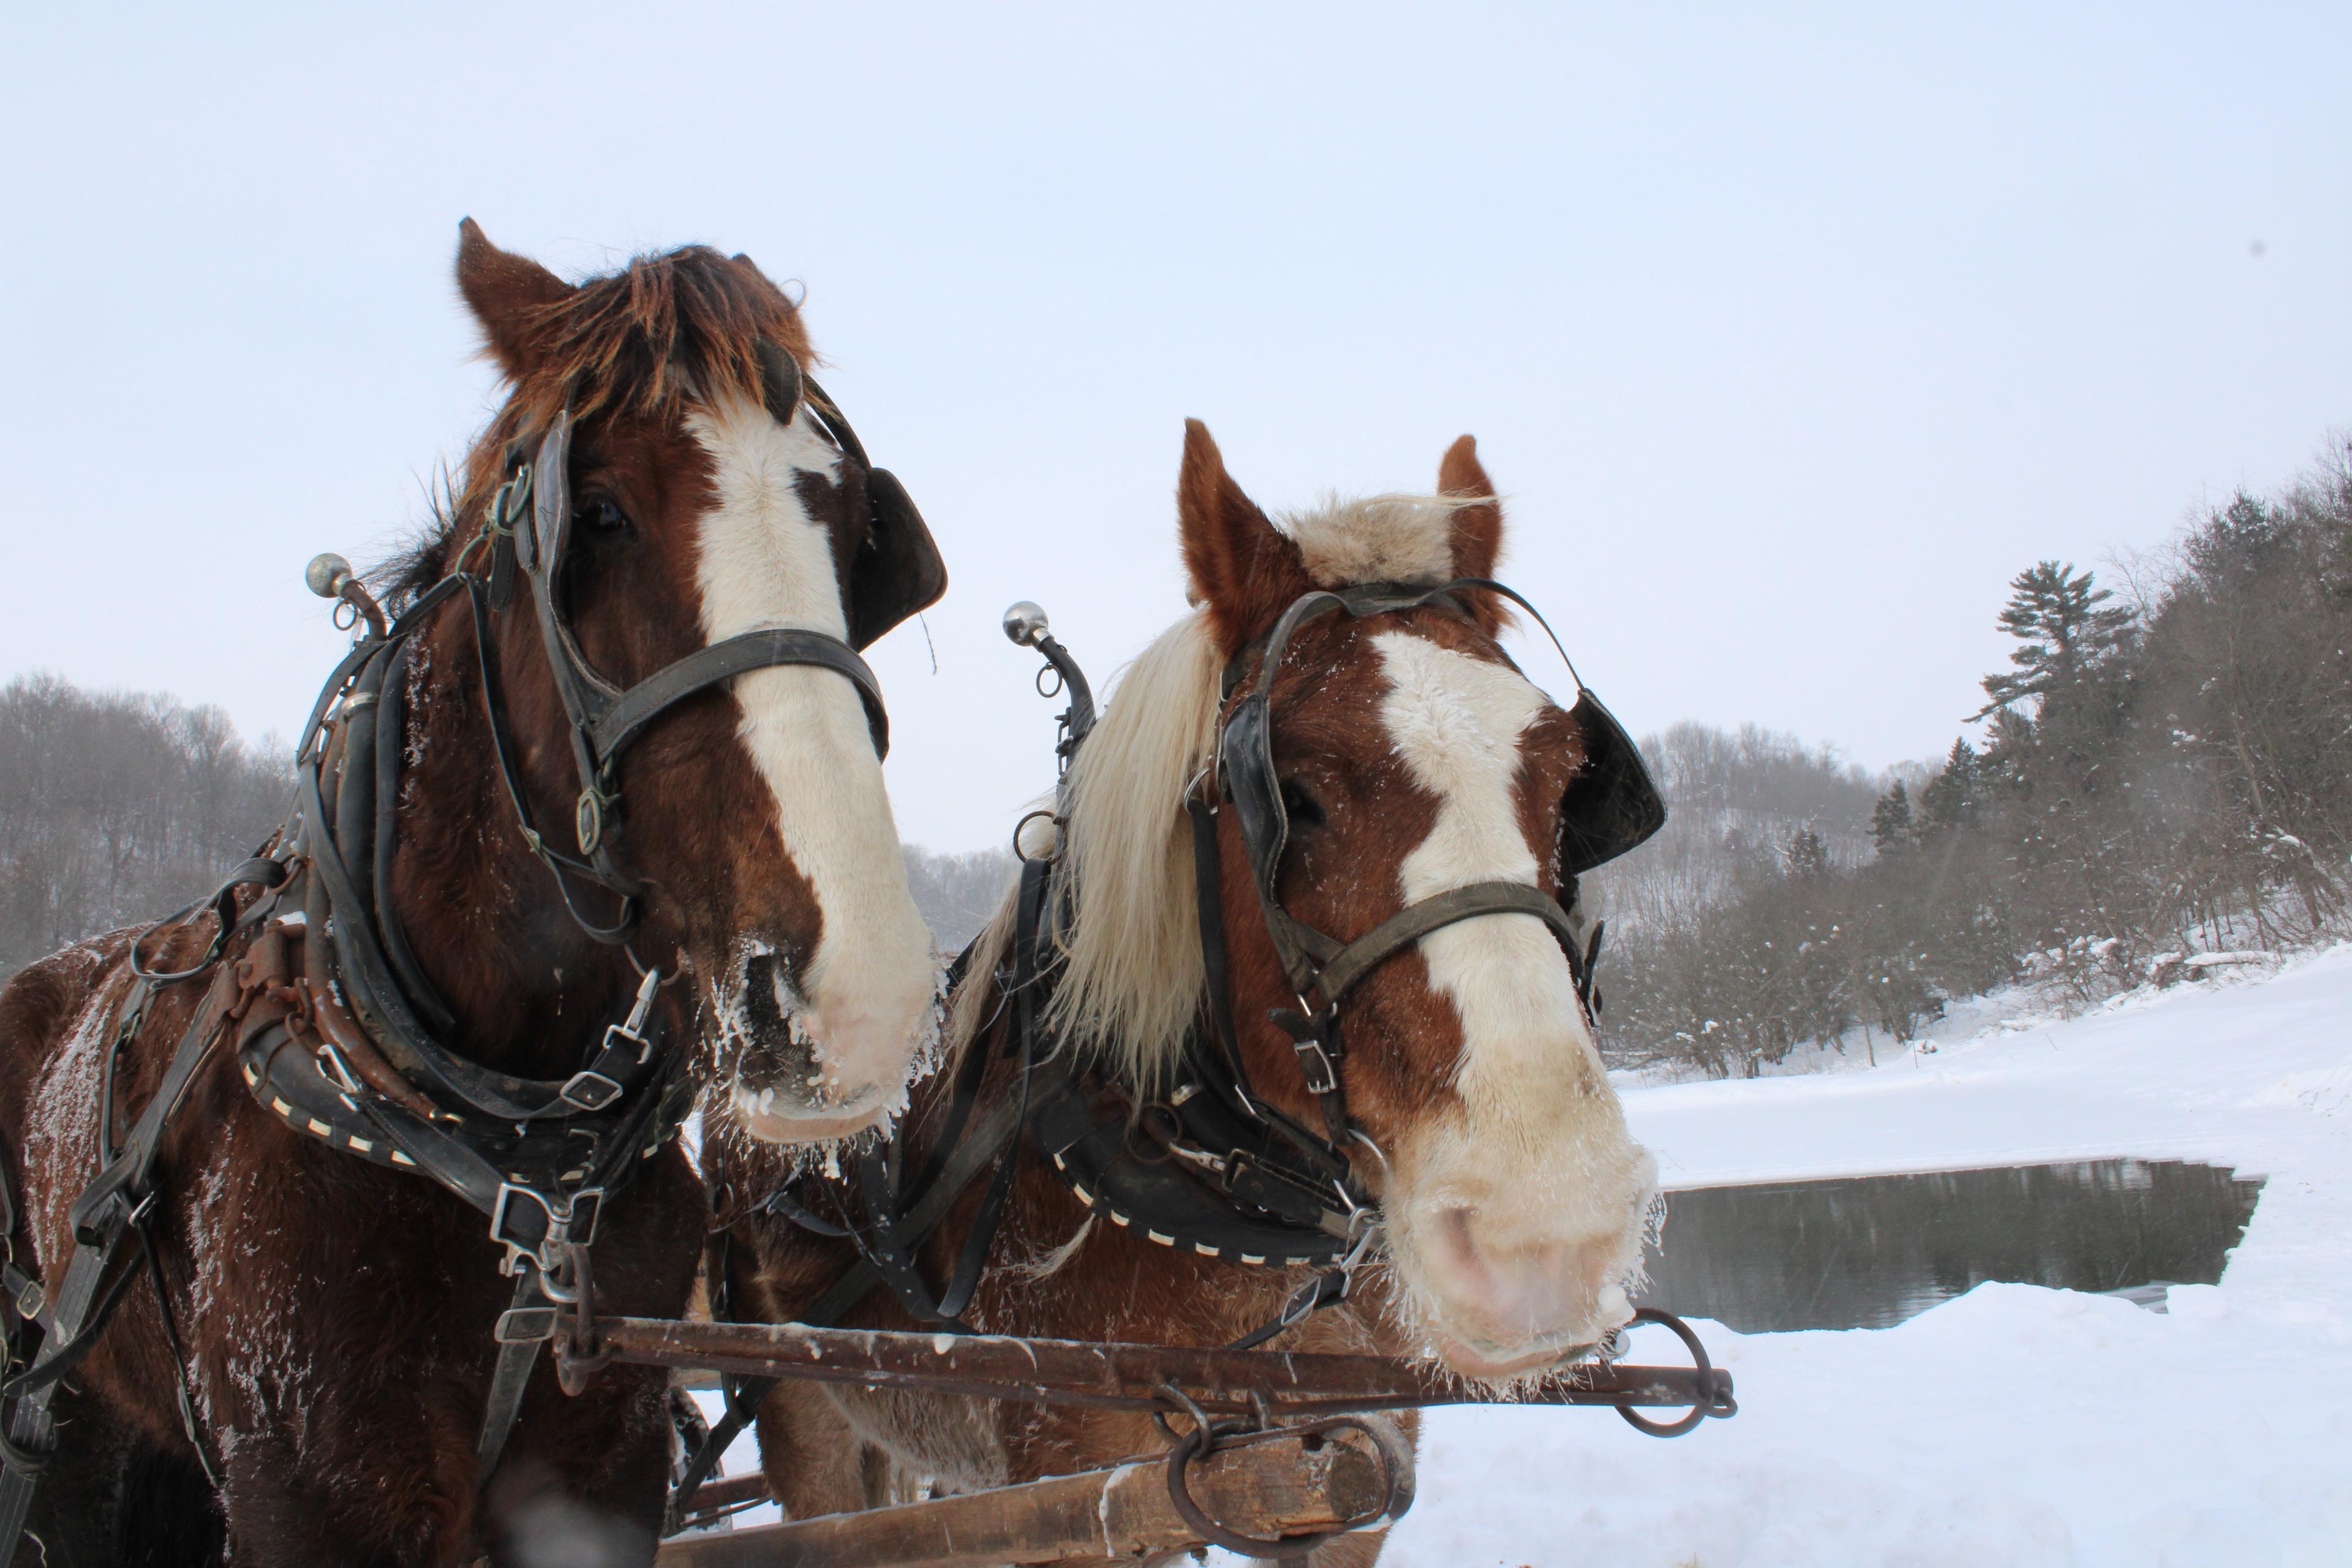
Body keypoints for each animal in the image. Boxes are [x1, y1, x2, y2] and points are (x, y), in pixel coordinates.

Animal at [7, 227, 955, 1561]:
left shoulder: (600, 1463)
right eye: (596, 515)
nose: (859, 999)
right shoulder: (313, 1487)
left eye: (858, 522)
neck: (509, 1150)